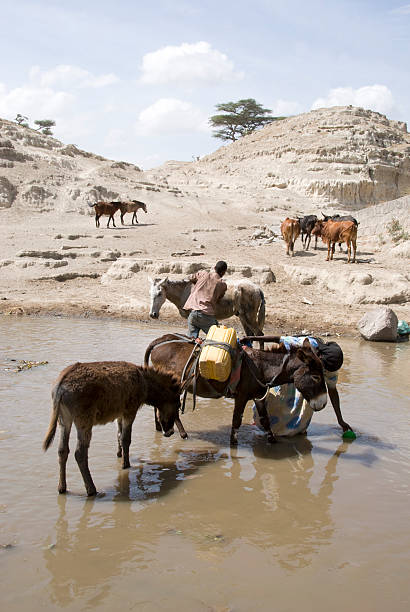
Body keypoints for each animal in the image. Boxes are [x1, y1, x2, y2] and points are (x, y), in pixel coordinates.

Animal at [42, 360, 181, 494]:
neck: (145, 383)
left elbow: (119, 435)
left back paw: (62, 488)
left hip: (65, 421)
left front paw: (119, 455)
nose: (170, 432)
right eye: (178, 404)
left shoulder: (120, 413)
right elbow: (125, 439)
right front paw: (126, 465)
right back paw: (91, 490)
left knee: (62, 451)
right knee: (80, 453)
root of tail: (60, 386)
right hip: (84, 422)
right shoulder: (130, 411)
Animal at [144, 334, 326, 444]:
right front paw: (233, 445)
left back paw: (161, 428)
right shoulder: (241, 396)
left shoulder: (258, 396)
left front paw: (273, 441)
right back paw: (180, 434)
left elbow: (266, 420)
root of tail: (159, 341)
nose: (323, 404)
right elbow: (236, 421)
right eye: (316, 377)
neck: (260, 368)